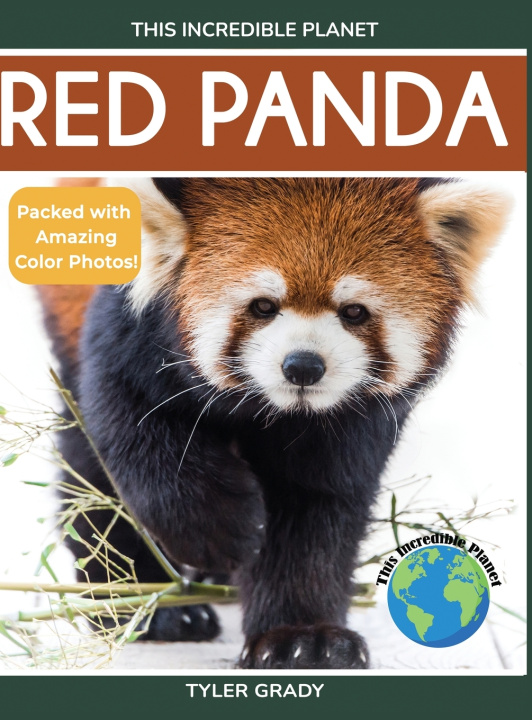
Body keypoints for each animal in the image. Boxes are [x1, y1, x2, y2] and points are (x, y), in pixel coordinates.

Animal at [38, 177, 510, 669]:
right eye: (263, 306)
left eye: (354, 312)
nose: (303, 366)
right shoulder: (129, 335)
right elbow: (134, 431)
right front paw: (217, 531)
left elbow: (313, 503)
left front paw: (302, 636)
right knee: (89, 475)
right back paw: (142, 607)